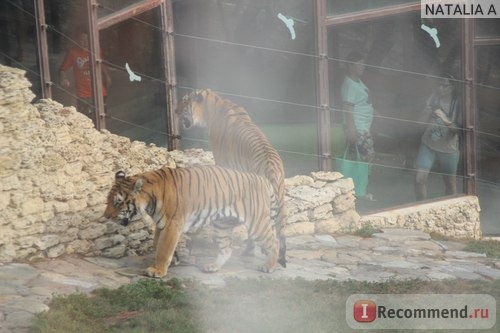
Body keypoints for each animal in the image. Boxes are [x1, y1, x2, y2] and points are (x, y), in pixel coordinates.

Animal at [103, 165, 282, 276]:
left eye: (117, 203)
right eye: (108, 200)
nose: (106, 216)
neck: (149, 199)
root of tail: (264, 180)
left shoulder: (172, 224)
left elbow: (163, 248)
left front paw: (157, 271)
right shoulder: (161, 224)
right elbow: (157, 244)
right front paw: (173, 260)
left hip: (257, 224)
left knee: (274, 241)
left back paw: (269, 266)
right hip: (222, 225)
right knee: (227, 248)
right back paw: (213, 267)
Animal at [177, 87, 288, 264]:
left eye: (185, 101)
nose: (175, 111)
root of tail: (272, 166)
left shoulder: (222, 161)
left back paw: (249, 251)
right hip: (280, 196)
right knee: (281, 228)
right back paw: (280, 257)